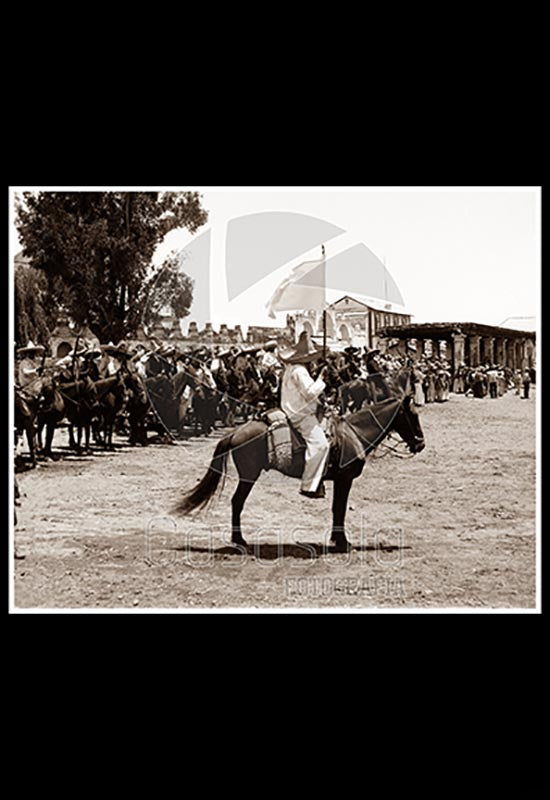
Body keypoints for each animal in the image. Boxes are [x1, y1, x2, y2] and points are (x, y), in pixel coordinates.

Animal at [177, 374, 426, 552]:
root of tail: (236, 432)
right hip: (249, 476)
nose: (421, 444)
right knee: (237, 502)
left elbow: (337, 508)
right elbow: (340, 508)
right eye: (413, 416)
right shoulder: (344, 479)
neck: (354, 433)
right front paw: (342, 542)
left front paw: (337, 539)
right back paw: (240, 540)